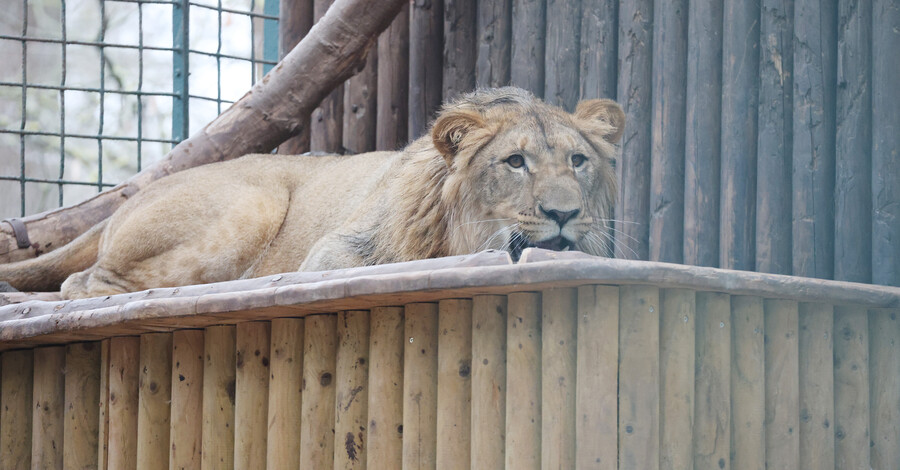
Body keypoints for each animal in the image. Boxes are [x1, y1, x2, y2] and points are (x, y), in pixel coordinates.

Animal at [0, 87, 625, 299]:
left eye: (578, 162)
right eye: (515, 162)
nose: (564, 214)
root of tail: (124, 201)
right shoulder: (332, 253)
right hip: (250, 203)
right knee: (81, 284)